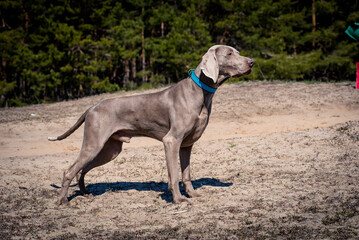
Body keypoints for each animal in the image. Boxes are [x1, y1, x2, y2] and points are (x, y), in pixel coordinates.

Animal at [49, 45, 255, 204]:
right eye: (229, 53)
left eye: (236, 52)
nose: (252, 62)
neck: (200, 92)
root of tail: (91, 107)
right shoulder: (171, 141)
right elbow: (174, 176)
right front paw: (178, 200)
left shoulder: (186, 145)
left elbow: (186, 174)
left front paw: (193, 194)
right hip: (94, 144)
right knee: (70, 170)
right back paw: (62, 201)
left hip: (110, 149)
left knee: (81, 170)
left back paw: (85, 193)